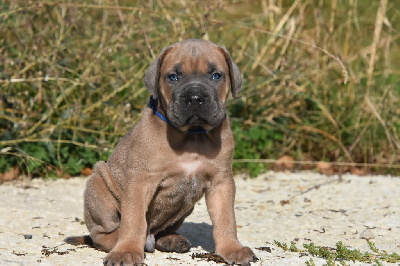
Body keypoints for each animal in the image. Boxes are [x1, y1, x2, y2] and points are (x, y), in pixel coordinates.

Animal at [66, 38, 256, 264]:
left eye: (216, 75)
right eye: (173, 77)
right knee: (102, 234)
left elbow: (226, 219)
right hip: (98, 183)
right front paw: (126, 250)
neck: (192, 136)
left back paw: (170, 239)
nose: (195, 97)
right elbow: (134, 220)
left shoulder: (221, 181)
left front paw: (232, 248)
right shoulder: (141, 182)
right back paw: (122, 242)